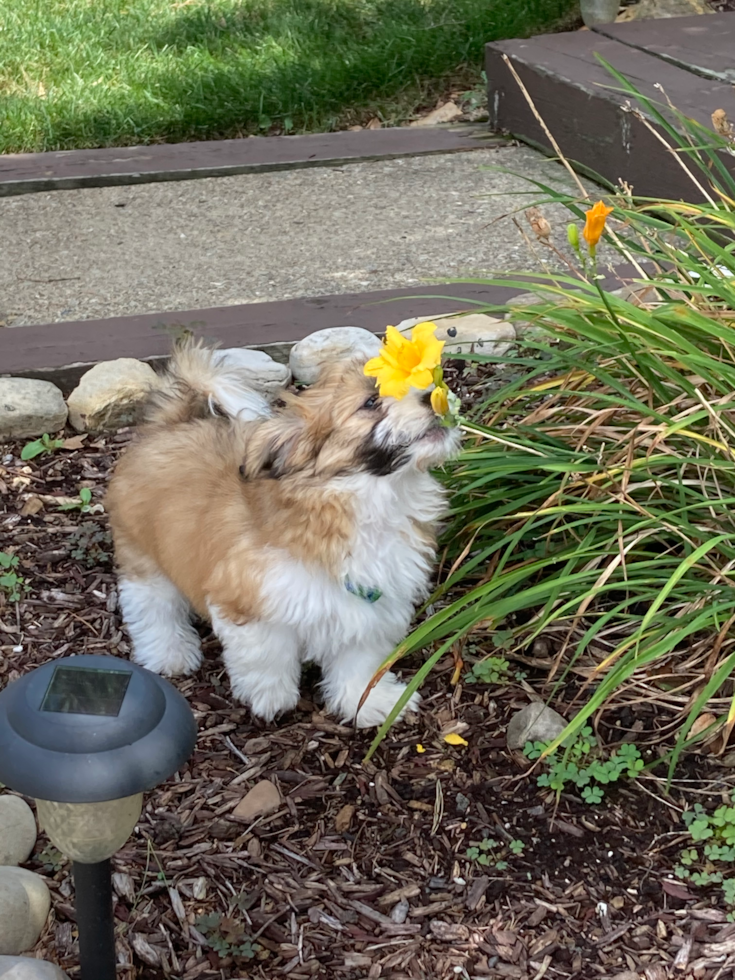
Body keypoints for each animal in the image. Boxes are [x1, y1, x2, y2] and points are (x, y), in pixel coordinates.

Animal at [107, 344, 460, 728]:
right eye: (370, 402)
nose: (433, 394)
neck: (366, 497)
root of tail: (171, 425)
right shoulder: (248, 601)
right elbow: (266, 655)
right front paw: (271, 696)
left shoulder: (371, 603)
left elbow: (360, 657)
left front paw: (367, 700)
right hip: (142, 554)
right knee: (152, 606)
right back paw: (169, 651)